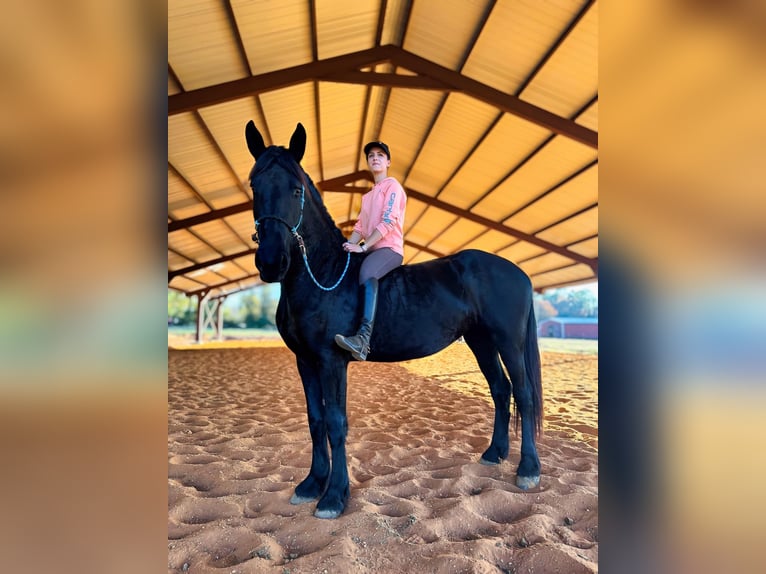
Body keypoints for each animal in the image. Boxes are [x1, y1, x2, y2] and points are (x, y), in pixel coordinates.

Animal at [245, 121, 543, 519]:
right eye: (255, 187)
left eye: (296, 190)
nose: (271, 262)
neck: (321, 273)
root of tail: (518, 272)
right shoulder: (305, 361)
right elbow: (316, 420)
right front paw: (311, 484)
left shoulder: (330, 361)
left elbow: (336, 423)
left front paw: (334, 496)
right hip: (481, 342)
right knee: (501, 389)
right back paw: (495, 453)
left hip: (508, 341)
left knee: (523, 394)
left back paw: (528, 469)